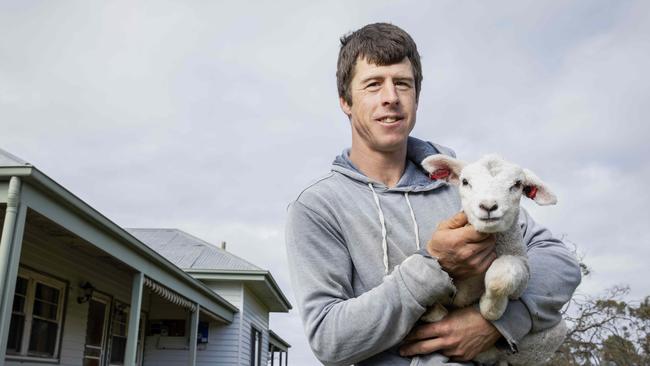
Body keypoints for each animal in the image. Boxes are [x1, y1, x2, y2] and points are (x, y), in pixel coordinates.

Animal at [410, 154, 568, 366]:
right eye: (465, 182)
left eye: (517, 184)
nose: (488, 206)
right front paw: (431, 309)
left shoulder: (521, 273)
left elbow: (503, 275)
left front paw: (489, 308)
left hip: (550, 336)